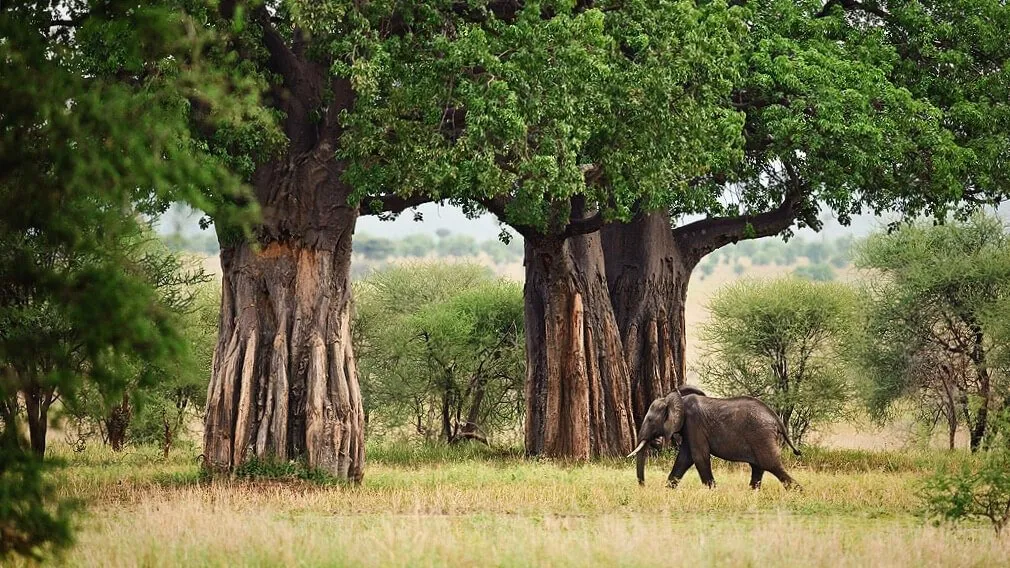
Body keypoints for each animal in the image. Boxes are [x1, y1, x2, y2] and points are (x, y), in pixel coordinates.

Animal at [626, 386, 799, 489]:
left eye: (650, 420)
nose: (643, 486)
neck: (678, 399)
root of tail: (775, 418)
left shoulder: (694, 423)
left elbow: (698, 457)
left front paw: (713, 491)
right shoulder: (689, 429)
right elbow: (684, 459)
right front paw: (668, 490)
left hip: (761, 436)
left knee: (771, 465)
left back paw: (798, 492)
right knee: (758, 467)